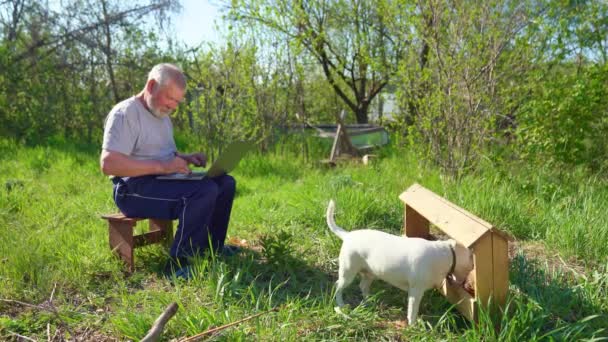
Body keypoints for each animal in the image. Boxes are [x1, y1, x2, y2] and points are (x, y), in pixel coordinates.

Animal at [328, 199, 476, 324]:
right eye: (471, 258)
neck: (445, 252)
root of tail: (348, 235)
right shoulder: (415, 291)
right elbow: (412, 310)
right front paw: (413, 326)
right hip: (348, 272)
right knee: (338, 285)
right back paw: (341, 304)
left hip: (369, 273)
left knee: (363, 286)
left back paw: (368, 302)